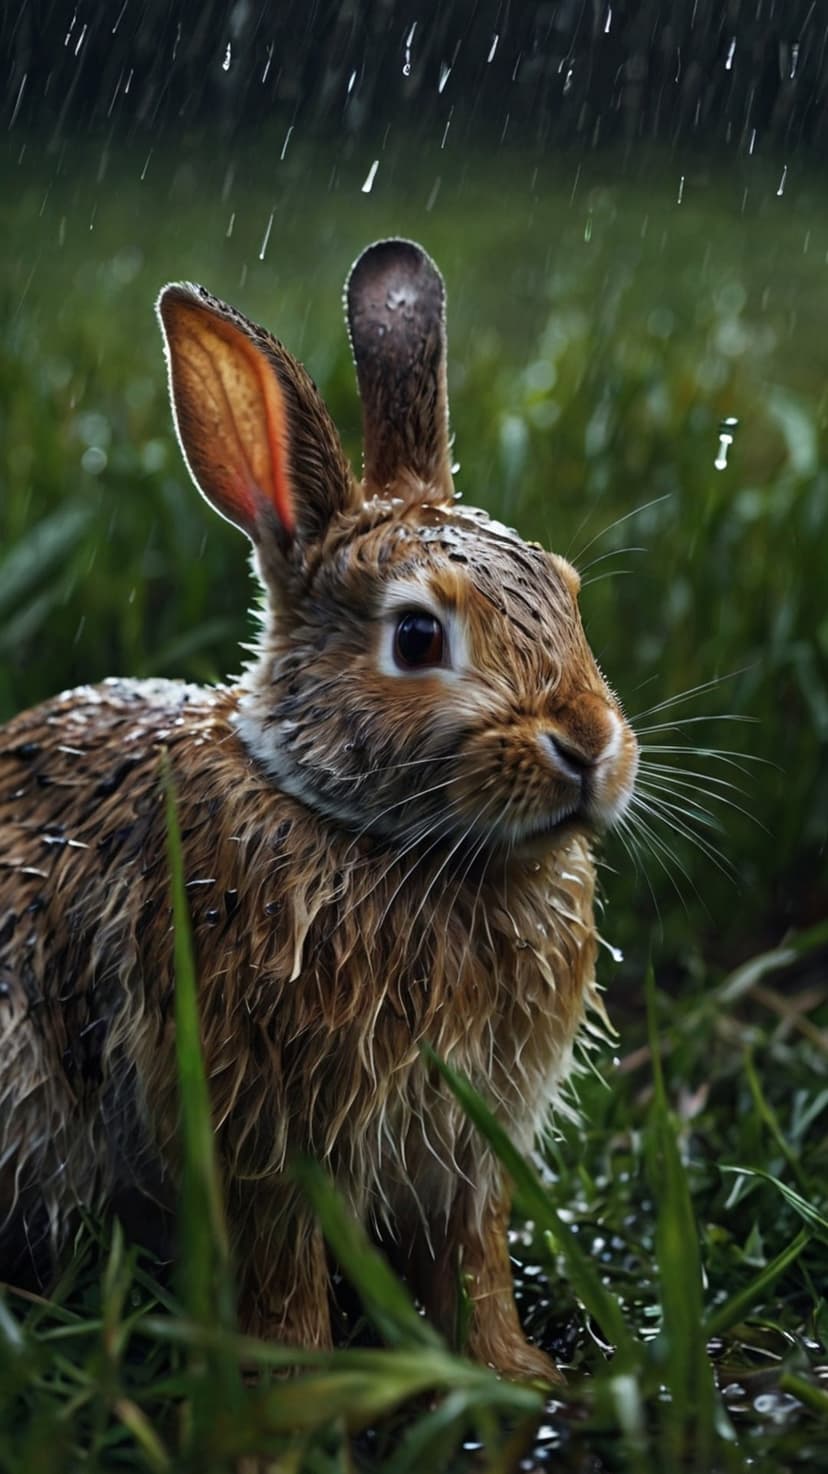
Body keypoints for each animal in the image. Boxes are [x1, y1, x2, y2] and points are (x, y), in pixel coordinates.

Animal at [0, 238, 638, 1383]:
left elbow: (474, 1257)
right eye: (418, 639)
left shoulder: (471, 1151)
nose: (588, 746)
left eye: (568, 595)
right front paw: (309, 1382)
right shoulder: (265, 1140)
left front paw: (516, 1372)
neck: (396, 842)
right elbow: (285, 1268)